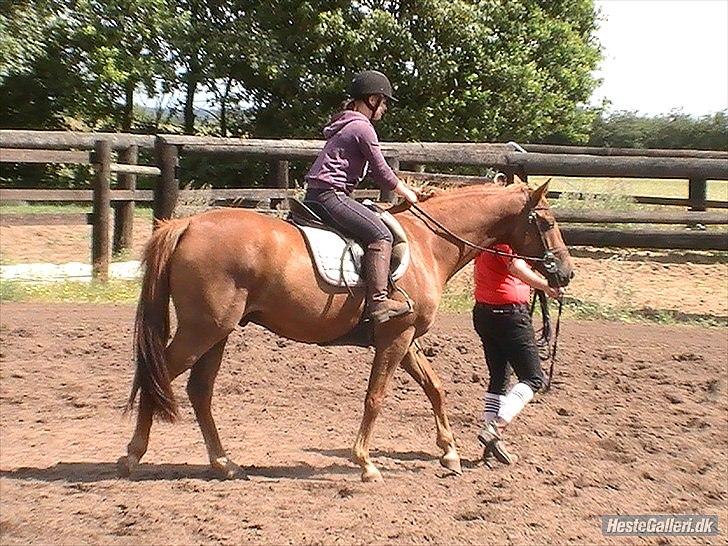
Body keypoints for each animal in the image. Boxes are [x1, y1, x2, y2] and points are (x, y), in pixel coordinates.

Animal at [119, 180, 576, 480]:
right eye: (547, 222)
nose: (566, 273)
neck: (427, 244)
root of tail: (187, 225)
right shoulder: (394, 339)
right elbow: (375, 398)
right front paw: (366, 462)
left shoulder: (405, 339)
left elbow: (435, 388)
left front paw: (449, 452)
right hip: (202, 331)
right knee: (157, 376)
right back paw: (133, 456)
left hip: (217, 333)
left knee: (199, 391)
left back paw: (223, 463)